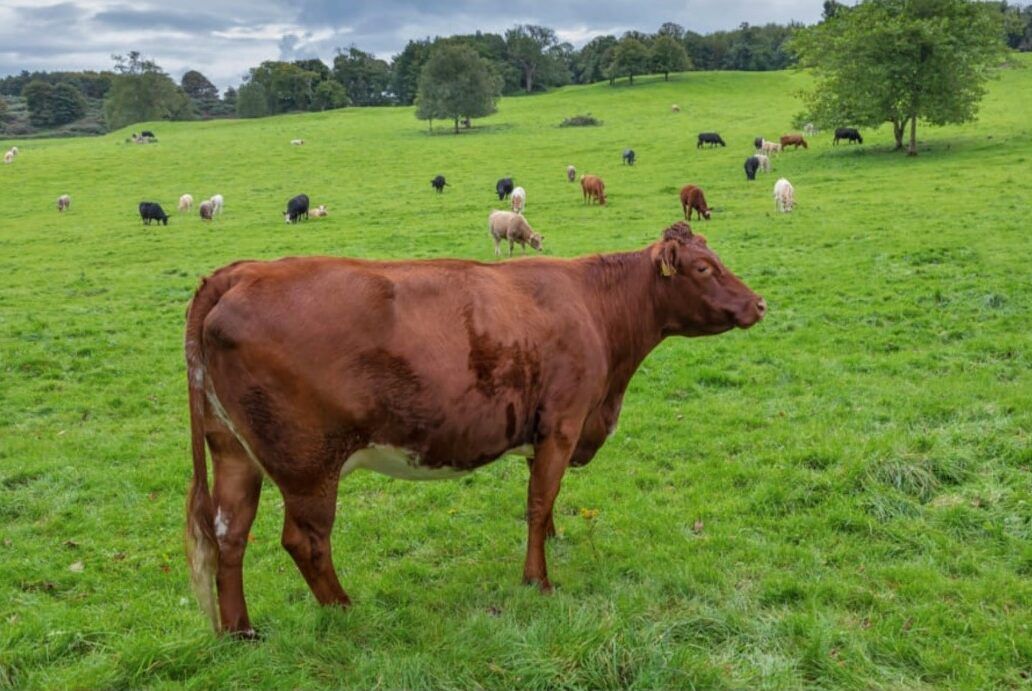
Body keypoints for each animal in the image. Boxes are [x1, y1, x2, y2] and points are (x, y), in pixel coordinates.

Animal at [183, 220, 766, 636]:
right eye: (703, 268)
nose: (758, 303)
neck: (594, 306)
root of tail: (242, 272)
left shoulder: (545, 431)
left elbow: (546, 498)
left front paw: (552, 543)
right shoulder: (563, 422)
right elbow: (538, 502)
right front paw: (538, 580)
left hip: (233, 451)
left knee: (229, 534)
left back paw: (241, 630)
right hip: (308, 462)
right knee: (304, 541)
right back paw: (347, 612)